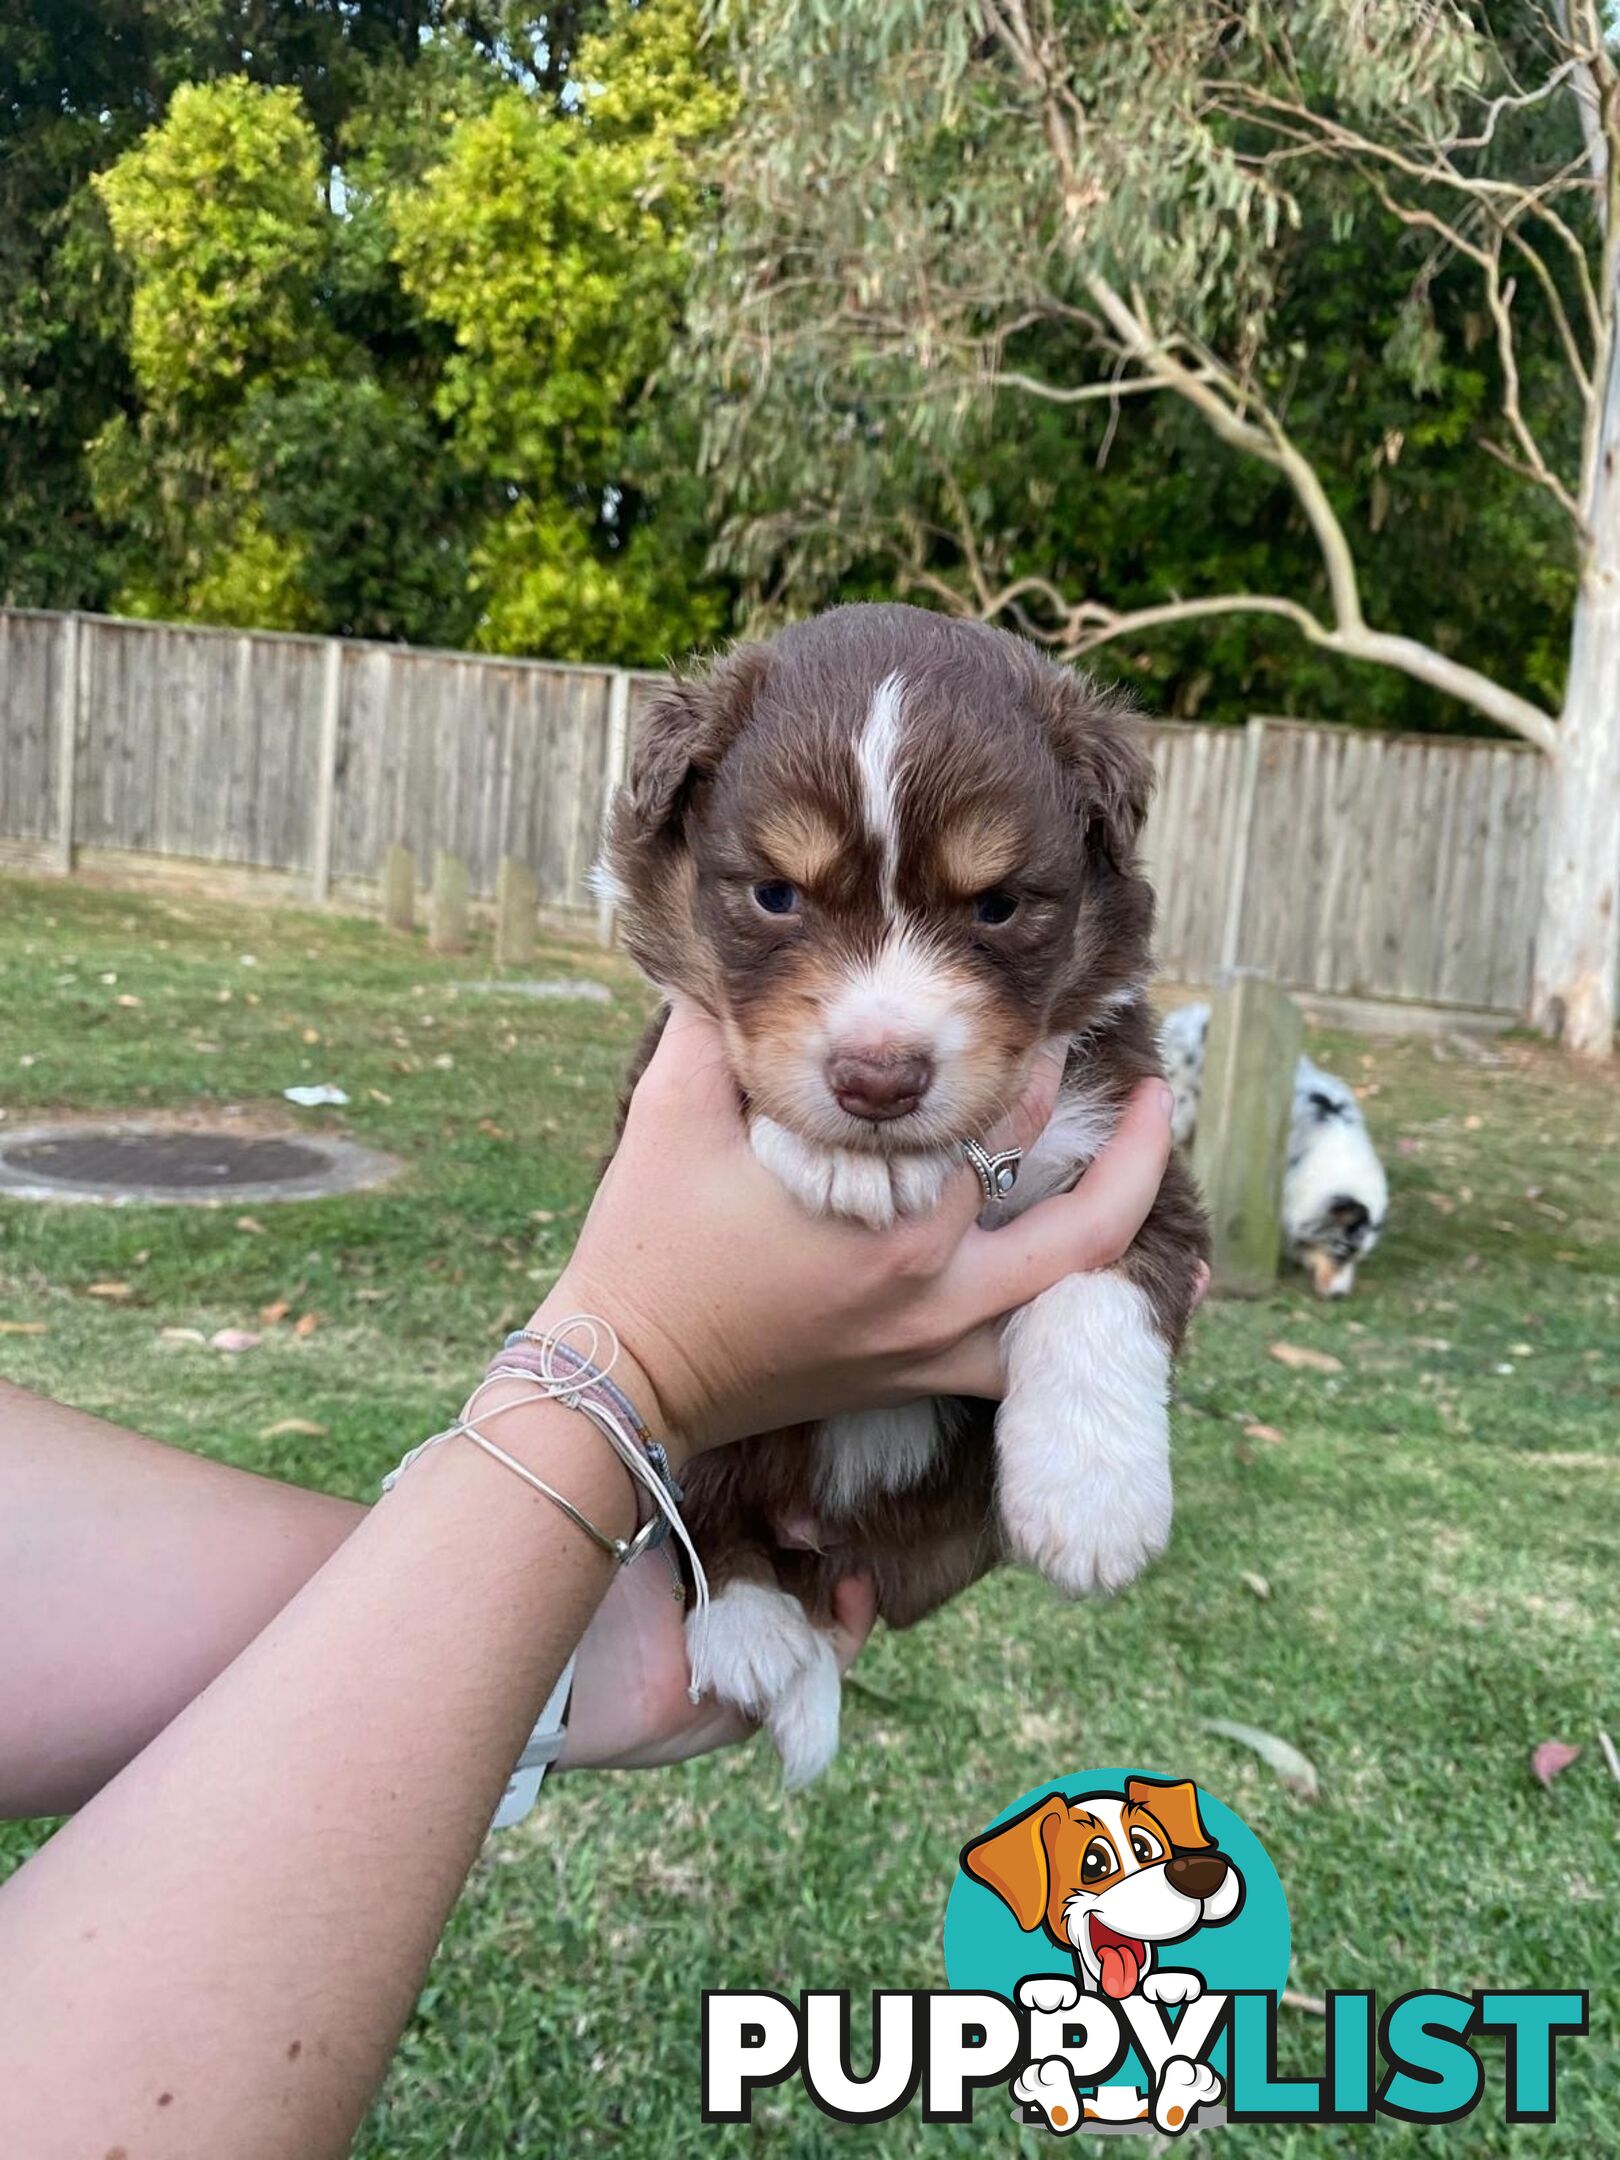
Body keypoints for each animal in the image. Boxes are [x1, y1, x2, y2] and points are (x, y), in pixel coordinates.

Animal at [596, 609, 1209, 1788]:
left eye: (999, 906)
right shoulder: (652, 1085)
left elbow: (1098, 1291)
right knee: (705, 1503)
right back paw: (748, 1626)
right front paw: (848, 1157)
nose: (877, 1080)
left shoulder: (1138, 1153)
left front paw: (1093, 1503)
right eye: (775, 895)